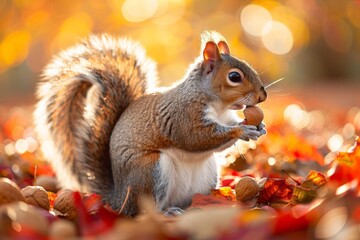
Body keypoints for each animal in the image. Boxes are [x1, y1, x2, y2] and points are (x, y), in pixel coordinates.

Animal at [33, 31, 268, 217]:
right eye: (234, 76)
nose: (263, 96)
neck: (217, 106)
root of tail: (117, 199)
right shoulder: (183, 116)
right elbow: (196, 138)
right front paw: (242, 130)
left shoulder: (223, 117)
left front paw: (259, 128)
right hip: (150, 170)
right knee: (145, 210)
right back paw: (166, 212)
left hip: (206, 175)